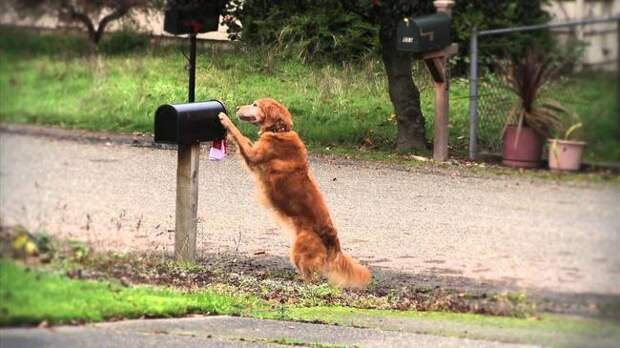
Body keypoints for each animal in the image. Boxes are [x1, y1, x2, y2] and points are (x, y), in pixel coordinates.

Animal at [219, 98, 370, 288]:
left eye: (255, 105)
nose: (238, 107)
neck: (279, 131)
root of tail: (333, 239)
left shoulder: (253, 154)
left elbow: (239, 135)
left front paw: (224, 118)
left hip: (299, 250)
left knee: (311, 276)